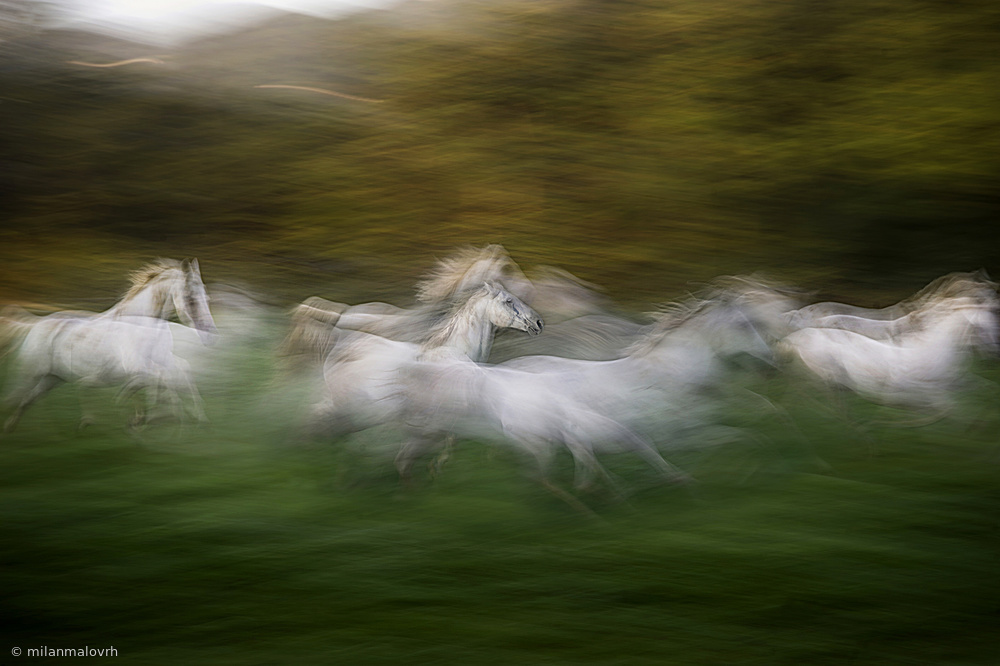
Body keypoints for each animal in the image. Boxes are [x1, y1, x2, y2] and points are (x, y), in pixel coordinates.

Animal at [0, 256, 216, 434]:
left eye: (206, 297)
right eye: (190, 298)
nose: (210, 333)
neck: (142, 325)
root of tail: (34, 324)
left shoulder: (163, 359)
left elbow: (181, 371)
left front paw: (198, 416)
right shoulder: (136, 365)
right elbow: (163, 379)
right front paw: (158, 416)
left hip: (52, 379)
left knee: (29, 399)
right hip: (31, 373)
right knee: (15, 398)